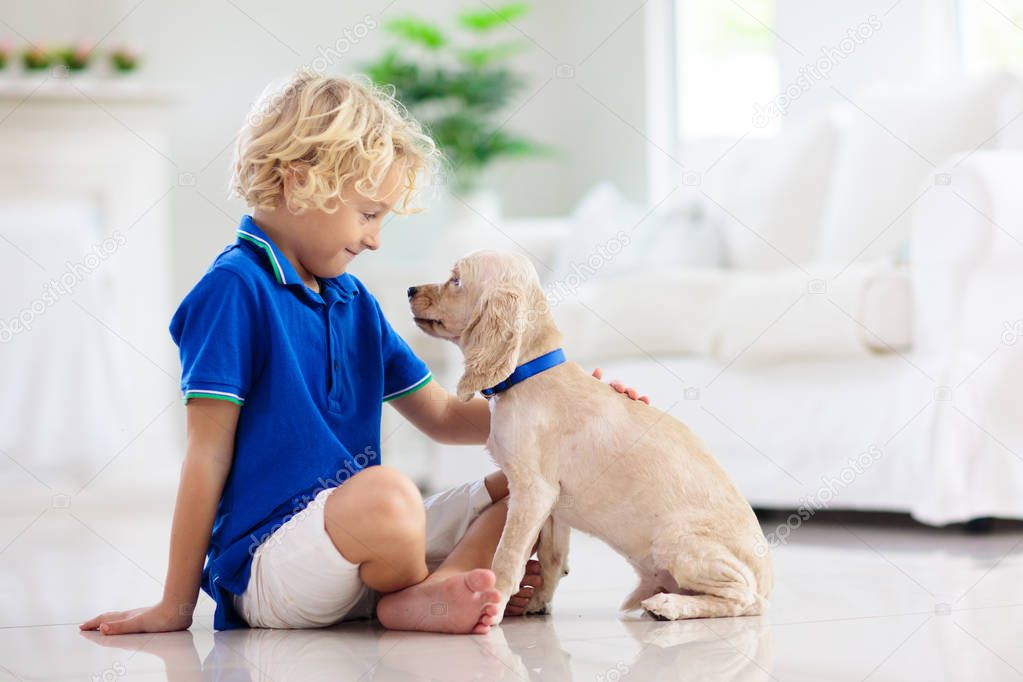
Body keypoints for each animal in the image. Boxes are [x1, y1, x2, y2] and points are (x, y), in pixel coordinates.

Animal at [405, 250, 769, 625]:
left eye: (456, 280)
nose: (409, 290)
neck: (529, 374)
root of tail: (767, 584)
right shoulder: (553, 502)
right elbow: (551, 558)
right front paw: (539, 602)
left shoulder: (533, 490)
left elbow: (506, 558)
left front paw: (492, 608)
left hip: (677, 541)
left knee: (741, 598)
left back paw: (669, 605)